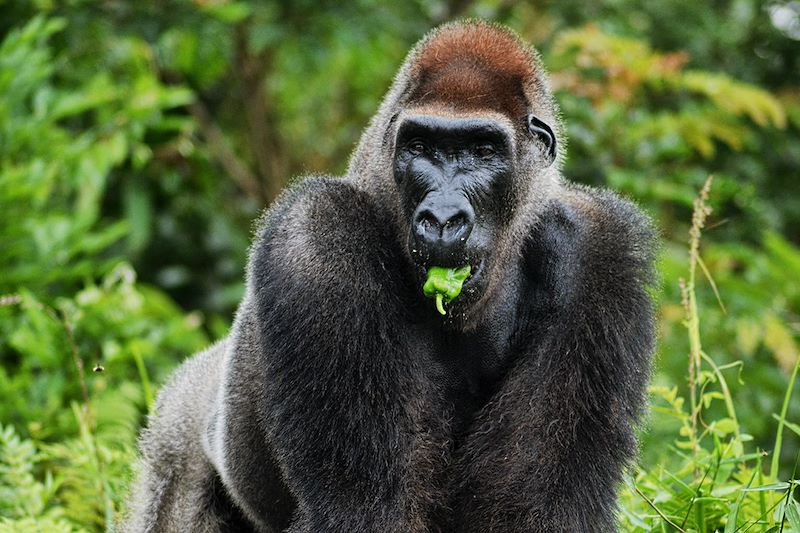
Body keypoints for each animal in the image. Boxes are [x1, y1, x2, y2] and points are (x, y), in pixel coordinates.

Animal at [122, 19, 652, 532]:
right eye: (421, 148)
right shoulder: (316, 234)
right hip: (176, 435)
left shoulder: (597, 249)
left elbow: (533, 503)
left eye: (483, 150)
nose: (442, 218)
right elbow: (368, 507)